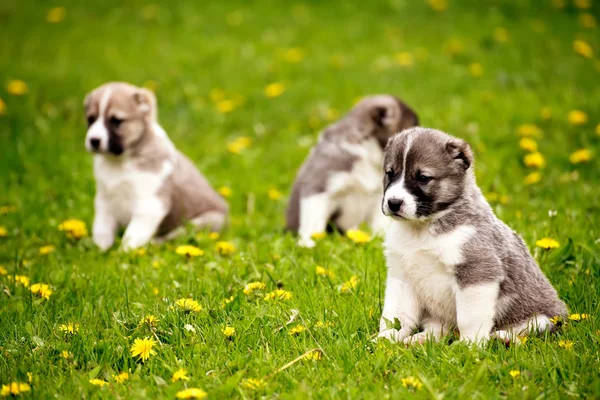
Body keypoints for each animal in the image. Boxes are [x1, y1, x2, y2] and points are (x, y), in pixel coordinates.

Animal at [83, 81, 226, 250]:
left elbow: (132, 236)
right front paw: (100, 250)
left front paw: (122, 253)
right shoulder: (104, 200)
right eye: (90, 119)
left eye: (116, 121)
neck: (119, 162)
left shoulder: (150, 204)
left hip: (203, 221)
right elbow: (102, 229)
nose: (94, 140)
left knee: (173, 236)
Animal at [284, 95, 418, 248]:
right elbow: (313, 221)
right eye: (413, 124)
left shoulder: (379, 196)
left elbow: (380, 222)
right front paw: (307, 243)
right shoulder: (318, 189)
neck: (366, 153)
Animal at [380, 127, 568, 344]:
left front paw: (469, 345)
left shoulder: (477, 272)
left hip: (544, 317)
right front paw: (385, 339)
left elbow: (469, 318)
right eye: (390, 173)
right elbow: (396, 315)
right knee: (439, 329)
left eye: (423, 178)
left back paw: (503, 337)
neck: (422, 228)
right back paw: (419, 340)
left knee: (530, 329)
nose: (394, 203)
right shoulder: (402, 276)